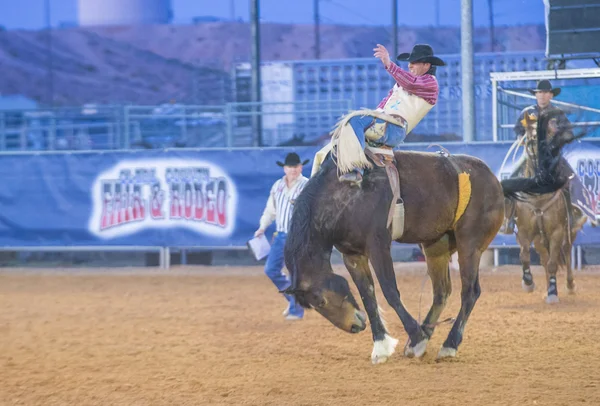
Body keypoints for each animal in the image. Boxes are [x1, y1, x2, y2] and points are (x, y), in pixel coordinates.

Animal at [284, 147, 504, 364]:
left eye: (321, 301)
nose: (354, 327)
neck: (342, 196)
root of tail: (492, 179)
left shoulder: (378, 246)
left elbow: (390, 291)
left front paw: (417, 336)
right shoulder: (352, 255)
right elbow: (367, 295)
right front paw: (381, 345)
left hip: (470, 245)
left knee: (470, 292)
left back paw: (448, 345)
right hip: (436, 246)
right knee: (441, 292)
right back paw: (421, 337)